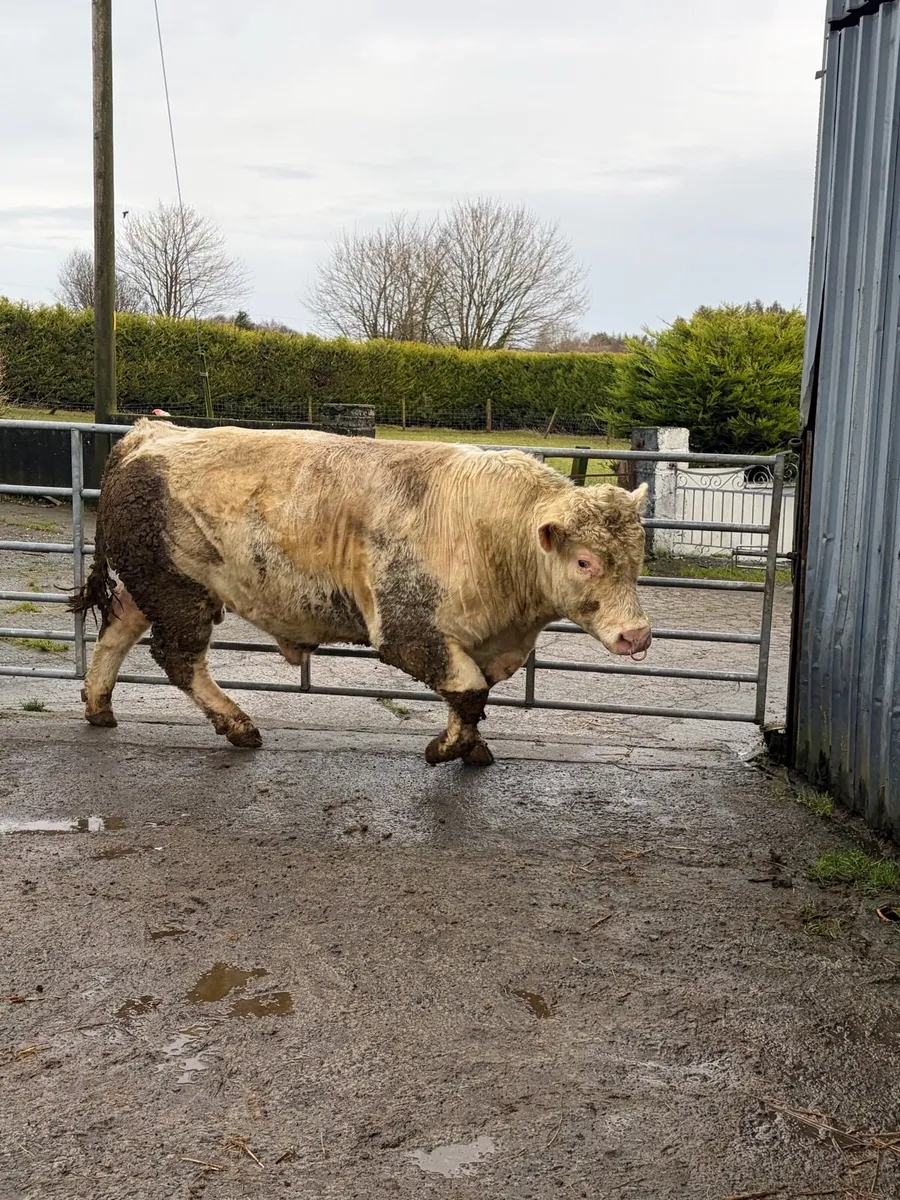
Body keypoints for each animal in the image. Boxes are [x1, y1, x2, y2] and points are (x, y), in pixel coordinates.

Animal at [71, 420, 651, 766]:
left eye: (637, 558)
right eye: (585, 561)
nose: (637, 635)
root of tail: (148, 434)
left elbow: (474, 695)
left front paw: (473, 746)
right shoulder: (409, 628)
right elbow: (467, 689)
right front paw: (447, 749)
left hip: (150, 585)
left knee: (117, 629)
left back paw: (99, 705)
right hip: (176, 588)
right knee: (178, 658)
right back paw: (237, 725)